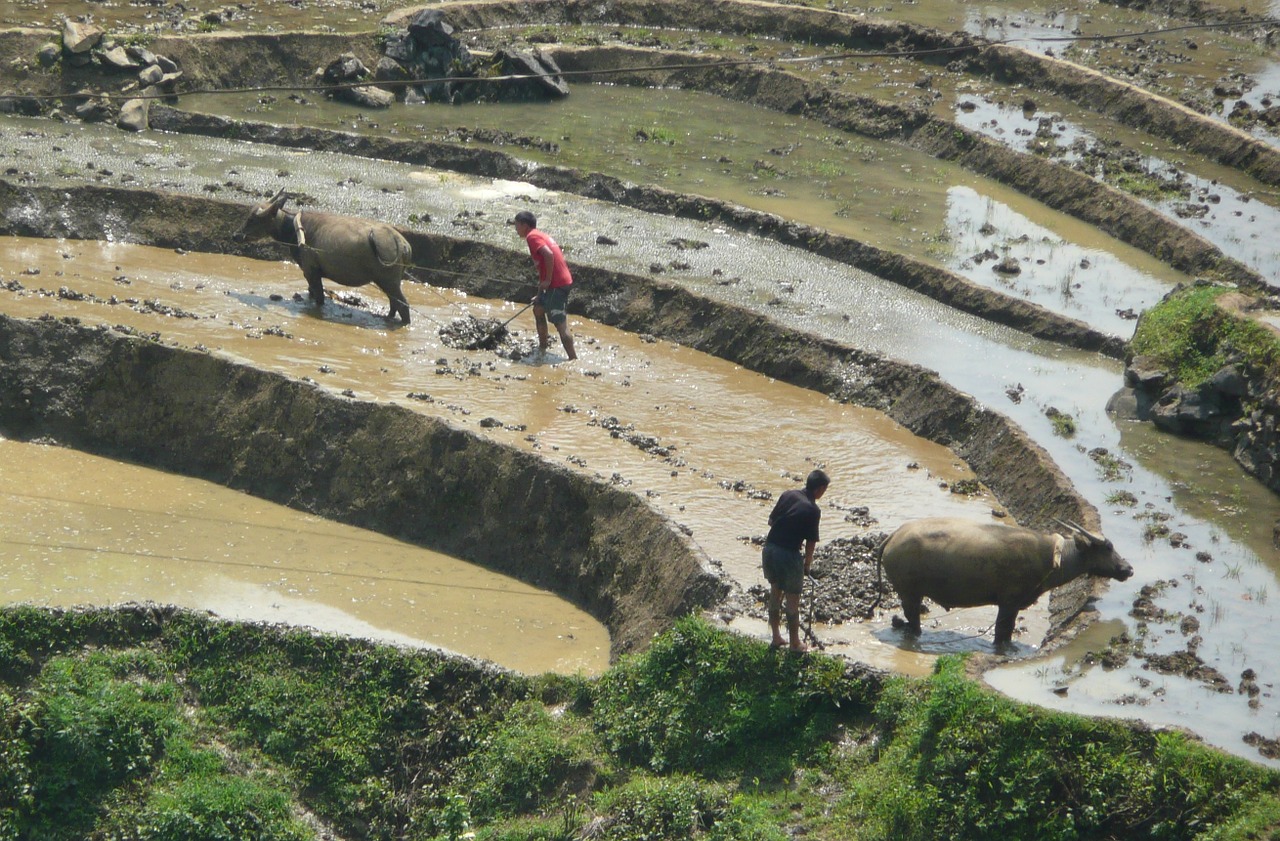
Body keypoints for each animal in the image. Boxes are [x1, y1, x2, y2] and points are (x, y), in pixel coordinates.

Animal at [230, 189, 409, 321]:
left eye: (252, 219)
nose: (235, 236)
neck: (294, 229)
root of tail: (401, 242)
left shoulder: (310, 270)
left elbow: (319, 298)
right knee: (394, 304)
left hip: (389, 281)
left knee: (404, 306)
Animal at [880, 514, 1131, 645]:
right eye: (1108, 548)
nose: (1127, 569)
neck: (1052, 557)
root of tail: (893, 536)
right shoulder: (1009, 604)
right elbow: (1004, 632)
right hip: (909, 593)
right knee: (912, 618)